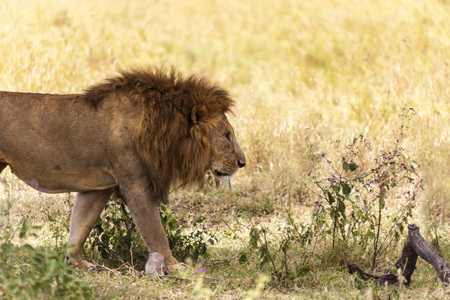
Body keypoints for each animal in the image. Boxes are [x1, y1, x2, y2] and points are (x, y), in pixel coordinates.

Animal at [0, 69, 246, 276]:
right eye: (227, 136)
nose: (242, 163)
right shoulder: (136, 184)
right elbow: (155, 231)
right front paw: (175, 266)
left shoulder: (98, 188)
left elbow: (80, 225)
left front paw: (76, 264)